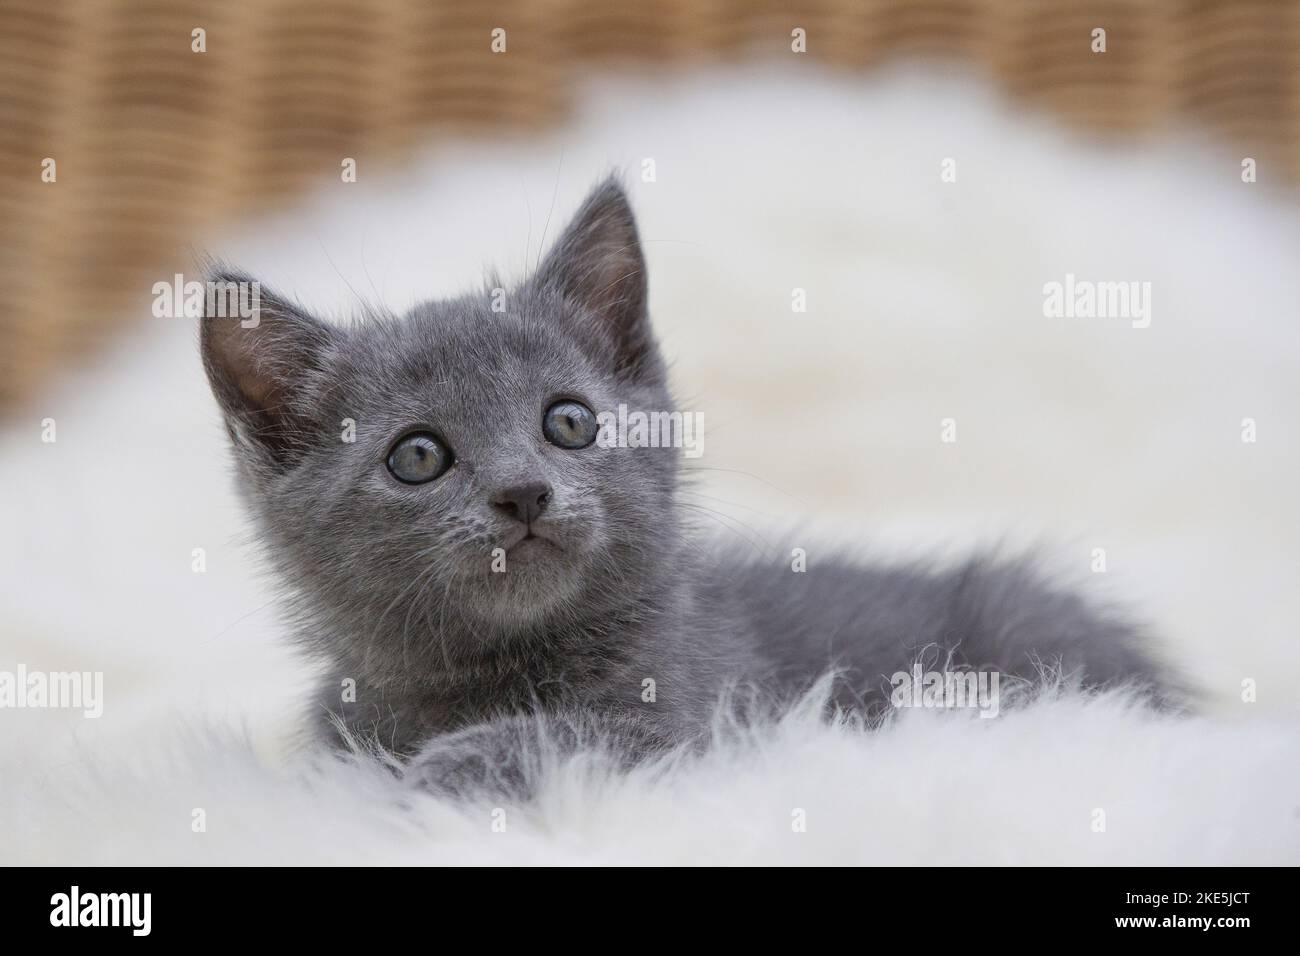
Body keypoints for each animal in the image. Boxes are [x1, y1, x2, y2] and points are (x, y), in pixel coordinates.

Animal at [205, 175, 1180, 796]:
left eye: (570, 422)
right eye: (416, 457)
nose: (523, 492)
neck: (491, 674)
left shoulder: (699, 724)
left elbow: (583, 735)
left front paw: (453, 765)